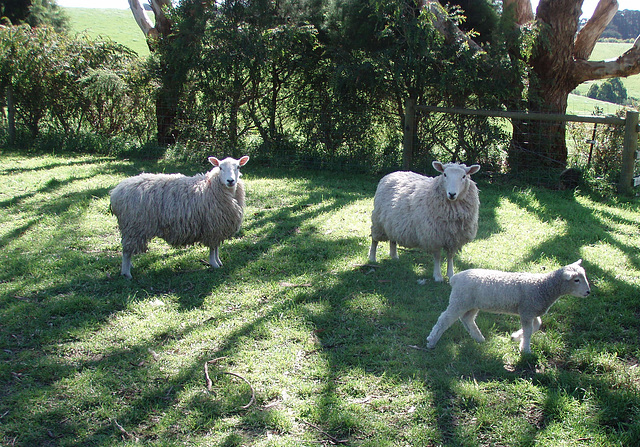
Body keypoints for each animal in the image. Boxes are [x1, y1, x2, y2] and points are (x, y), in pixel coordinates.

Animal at [110, 156, 250, 278]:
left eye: (238, 167)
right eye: (220, 167)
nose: (230, 181)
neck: (213, 186)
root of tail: (115, 193)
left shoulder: (218, 226)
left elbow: (215, 247)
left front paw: (218, 261)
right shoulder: (212, 225)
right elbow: (212, 248)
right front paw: (214, 264)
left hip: (132, 228)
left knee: (127, 250)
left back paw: (130, 266)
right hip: (133, 227)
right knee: (126, 252)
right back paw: (126, 273)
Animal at [428, 260, 592, 356]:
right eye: (576, 280)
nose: (588, 292)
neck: (543, 286)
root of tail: (455, 278)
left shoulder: (531, 310)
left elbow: (537, 325)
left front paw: (515, 337)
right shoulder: (526, 311)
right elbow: (528, 331)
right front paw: (525, 350)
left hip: (471, 304)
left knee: (467, 319)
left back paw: (479, 338)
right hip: (459, 301)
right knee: (444, 319)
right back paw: (431, 340)